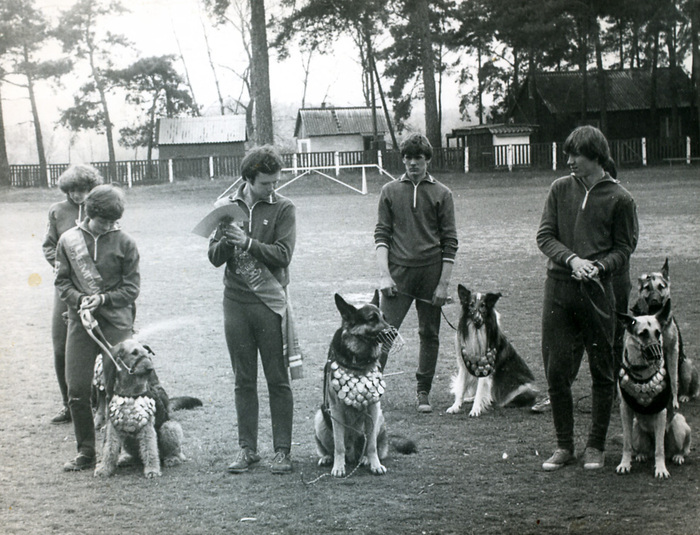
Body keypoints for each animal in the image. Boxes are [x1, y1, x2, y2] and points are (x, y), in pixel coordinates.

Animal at [94, 342, 201, 480]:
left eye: (147, 354)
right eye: (134, 353)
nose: (150, 369)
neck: (129, 392)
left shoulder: (147, 428)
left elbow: (150, 450)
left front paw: (152, 470)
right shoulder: (113, 427)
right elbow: (109, 449)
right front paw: (103, 469)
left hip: (169, 427)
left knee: (174, 452)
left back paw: (172, 459)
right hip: (127, 438)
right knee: (137, 455)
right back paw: (127, 459)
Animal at [318, 294, 400, 478]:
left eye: (384, 318)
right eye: (372, 319)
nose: (394, 332)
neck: (357, 361)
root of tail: (352, 455)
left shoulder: (374, 407)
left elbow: (372, 446)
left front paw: (375, 464)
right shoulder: (336, 410)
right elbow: (338, 445)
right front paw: (338, 467)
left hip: (379, 417)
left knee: (371, 445)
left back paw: (365, 459)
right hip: (320, 416)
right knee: (332, 448)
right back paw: (328, 457)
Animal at [446, 284, 540, 418]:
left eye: (483, 305)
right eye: (471, 304)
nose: (477, 320)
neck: (477, 332)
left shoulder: (485, 368)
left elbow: (480, 391)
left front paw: (475, 409)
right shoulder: (465, 367)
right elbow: (461, 389)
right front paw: (455, 407)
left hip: (522, 388)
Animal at [616, 300, 688, 480]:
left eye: (658, 333)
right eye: (643, 334)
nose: (657, 355)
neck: (642, 374)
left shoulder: (661, 412)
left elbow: (659, 449)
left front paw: (661, 469)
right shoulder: (625, 410)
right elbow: (626, 443)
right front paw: (625, 464)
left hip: (679, 424)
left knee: (679, 448)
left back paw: (678, 456)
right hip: (636, 427)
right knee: (643, 449)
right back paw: (641, 455)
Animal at [632, 260, 696, 406]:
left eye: (661, 287)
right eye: (647, 288)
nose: (655, 301)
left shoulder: (672, 351)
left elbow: (673, 379)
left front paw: (674, 401)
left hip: (686, 364)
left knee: (684, 386)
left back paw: (684, 395)